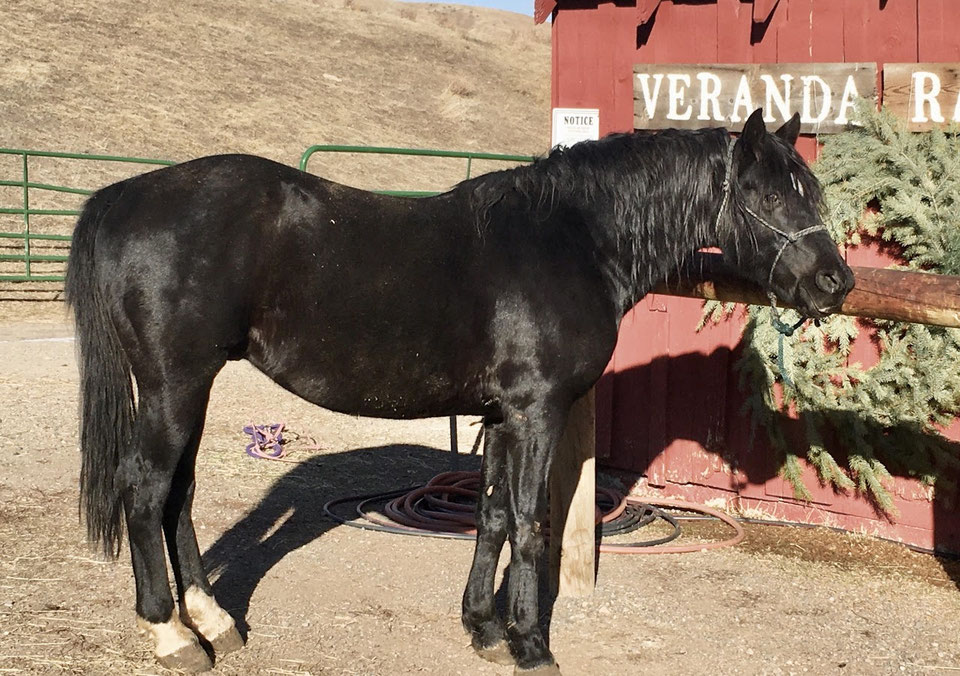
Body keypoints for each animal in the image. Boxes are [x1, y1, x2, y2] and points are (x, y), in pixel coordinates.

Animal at [65, 108, 853, 674]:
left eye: (807, 189)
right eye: (764, 192)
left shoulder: (501, 416)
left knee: (178, 493)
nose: (834, 282)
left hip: (189, 388)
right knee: (145, 492)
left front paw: (484, 629)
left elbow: (493, 517)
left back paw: (215, 621)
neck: (571, 240)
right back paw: (173, 635)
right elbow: (531, 525)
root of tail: (125, 195)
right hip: (173, 386)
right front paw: (533, 646)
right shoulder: (537, 413)